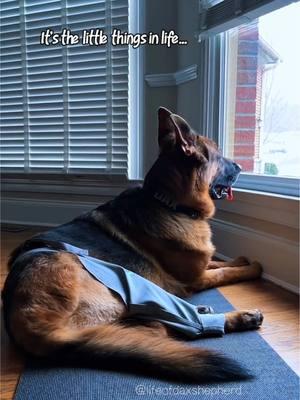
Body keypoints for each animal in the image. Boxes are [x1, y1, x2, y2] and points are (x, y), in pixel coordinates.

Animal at [1, 108, 262, 382]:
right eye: (219, 156)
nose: (240, 166)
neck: (169, 203)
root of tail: (31, 322)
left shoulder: (200, 264)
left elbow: (218, 261)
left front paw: (240, 259)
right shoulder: (196, 279)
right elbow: (226, 272)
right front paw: (252, 267)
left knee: (154, 328)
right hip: (131, 285)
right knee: (168, 329)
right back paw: (239, 317)